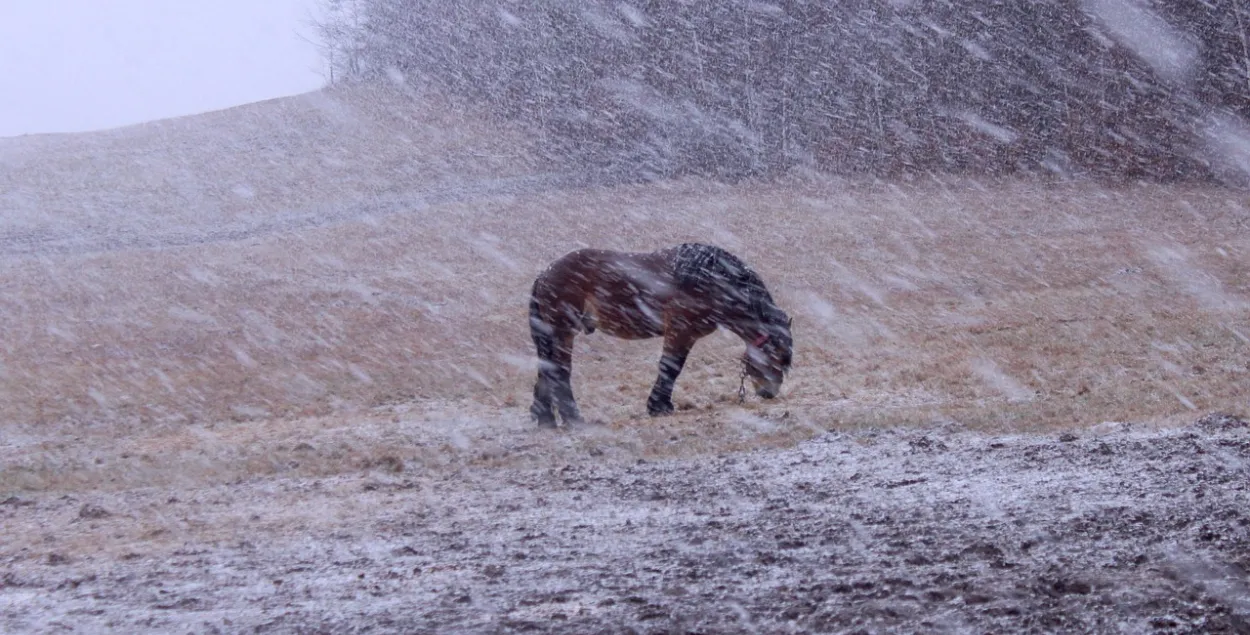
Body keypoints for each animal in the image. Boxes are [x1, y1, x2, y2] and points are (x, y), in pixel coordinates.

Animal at [525, 241, 790, 427]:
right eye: (776, 355)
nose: (769, 393)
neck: (709, 280)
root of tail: (545, 274)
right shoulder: (680, 332)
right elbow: (671, 367)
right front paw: (659, 407)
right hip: (564, 333)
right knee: (559, 372)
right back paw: (574, 420)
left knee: (546, 370)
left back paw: (546, 419)